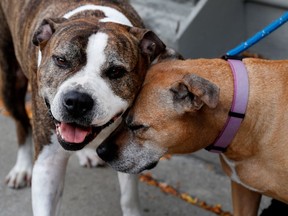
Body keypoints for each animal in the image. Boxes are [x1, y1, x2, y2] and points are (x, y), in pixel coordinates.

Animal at [0, 0, 165, 216]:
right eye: (61, 60)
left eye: (116, 71)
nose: (77, 101)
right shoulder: (48, 162)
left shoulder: (129, 151)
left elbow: (129, 198)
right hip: (11, 82)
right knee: (21, 122)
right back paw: (22, 168)